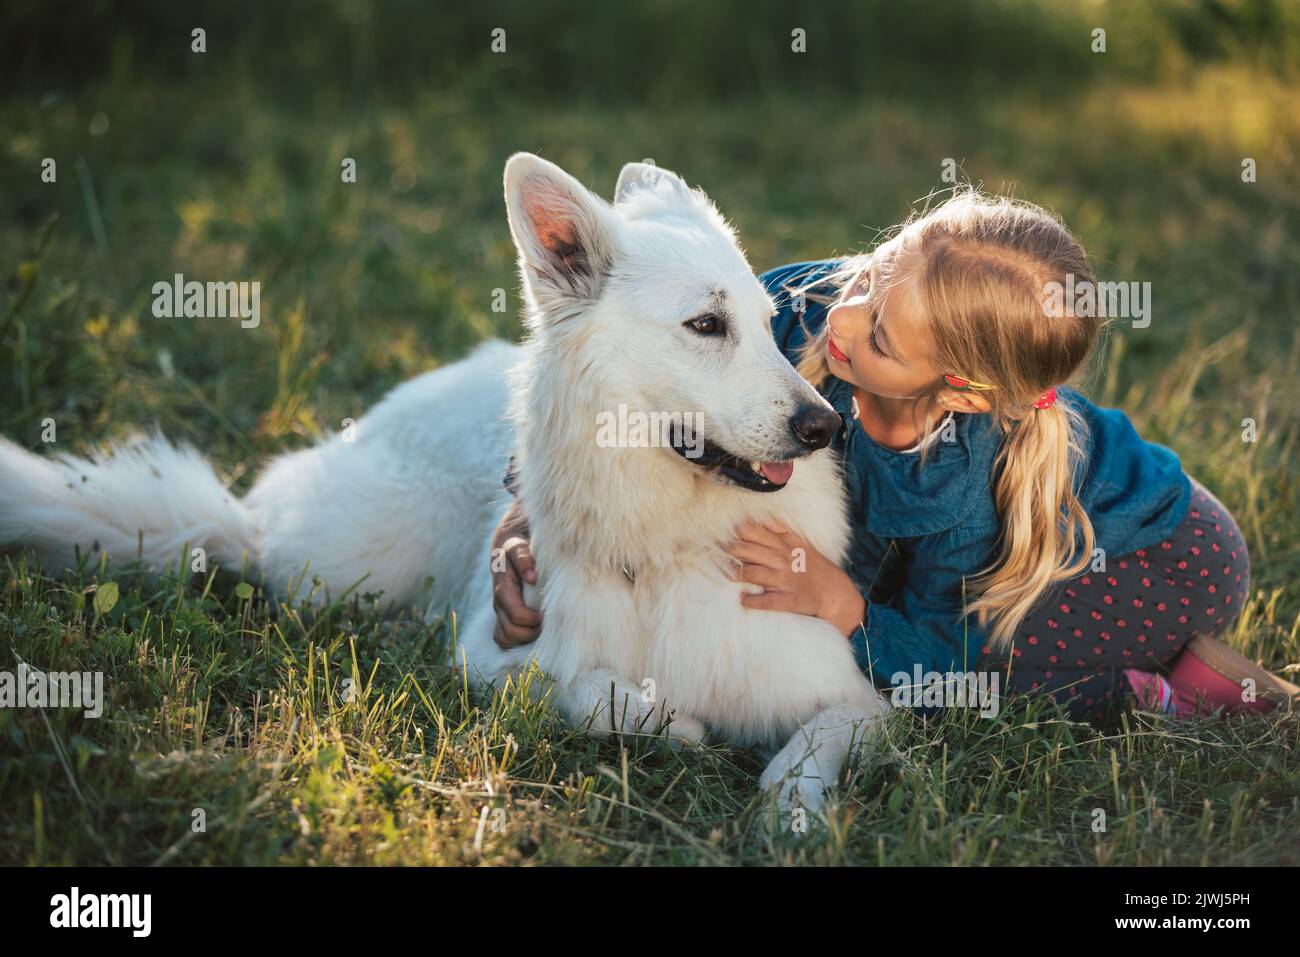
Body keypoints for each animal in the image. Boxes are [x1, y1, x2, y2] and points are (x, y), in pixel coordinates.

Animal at [0, 153, 889, 811]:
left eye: (769, 326)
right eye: (706, 325)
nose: (824, 427)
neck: (662, 545)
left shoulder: (864, 699)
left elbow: (814, 744)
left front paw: (789, 811)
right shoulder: (488, 658)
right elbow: (599, 694)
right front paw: (681, 726)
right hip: (342, 562)